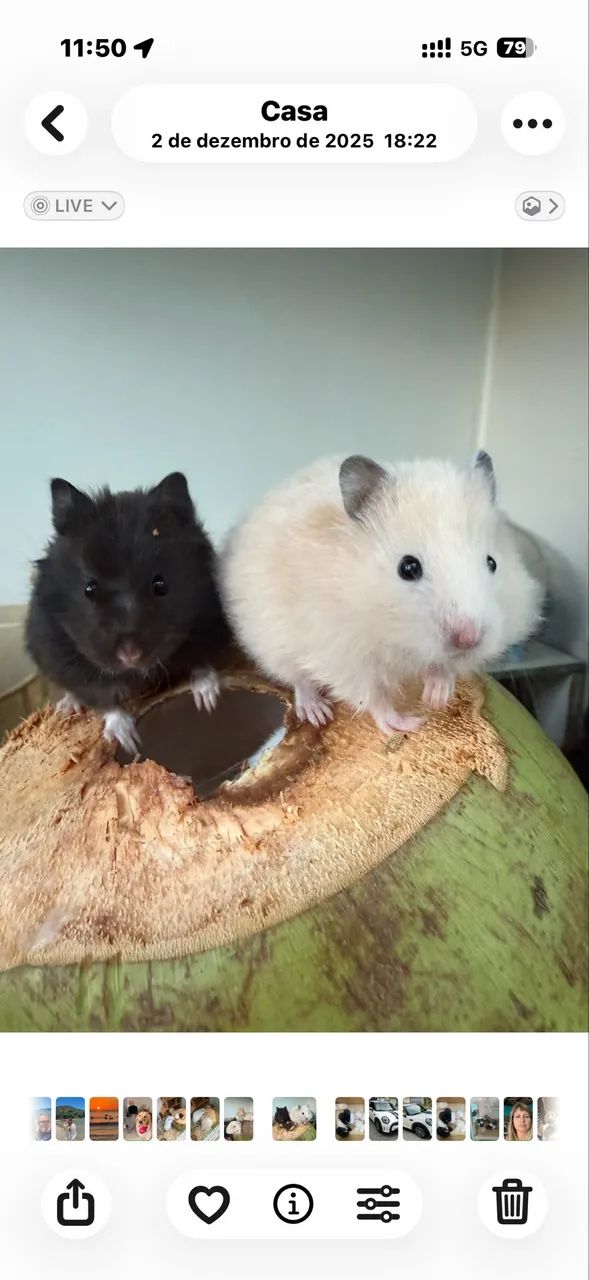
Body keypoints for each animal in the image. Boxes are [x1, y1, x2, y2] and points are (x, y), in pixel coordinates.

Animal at [26, 472, 231, 752]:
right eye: (89, 589)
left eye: (161, 584)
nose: (130, 655)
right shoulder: (63, 657)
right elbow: (102, 698)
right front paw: (129, 741)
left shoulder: (208, 625)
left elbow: (201, 662)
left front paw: (208, 700)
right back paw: (67, 707)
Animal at [220, 452, 542, 734]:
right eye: (408, 567)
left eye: (492, 563)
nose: (469, 639)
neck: (396, 636)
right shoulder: (342, 654)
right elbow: (372, 696)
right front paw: (406, 723)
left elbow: (445, 666)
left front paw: (437, 696)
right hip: (272, 644)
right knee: (298, 679)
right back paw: (317, 712)